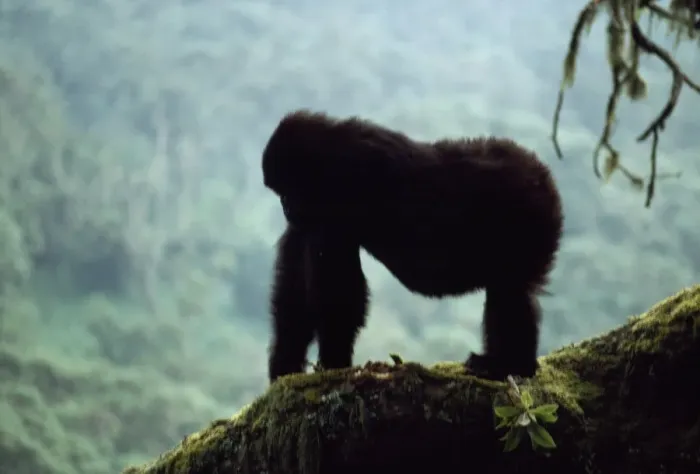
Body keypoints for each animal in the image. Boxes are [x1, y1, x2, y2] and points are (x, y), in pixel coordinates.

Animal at [262, 109, 563, 383]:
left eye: (287, 190)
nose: (286, 206)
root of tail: (542, 174)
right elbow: (296, 288)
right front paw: (284, 366)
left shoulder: (341, 190)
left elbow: (338, 293)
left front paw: (333, 363)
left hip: (530, 213)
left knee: (510, 289)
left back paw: (509, 365)